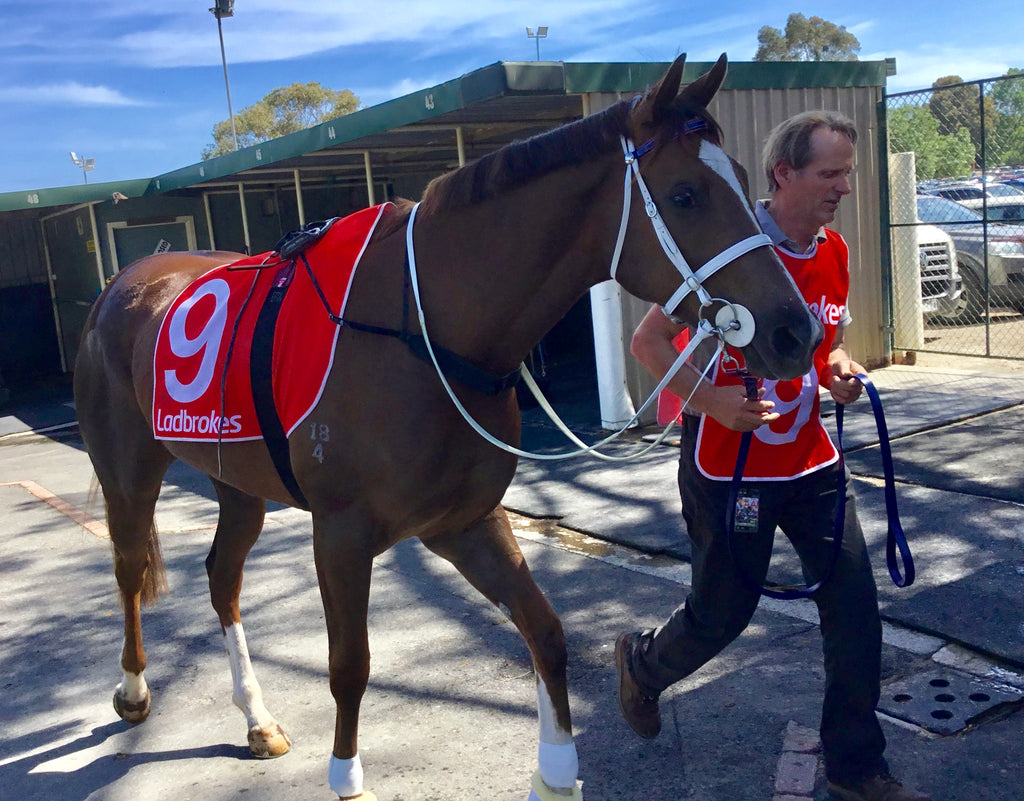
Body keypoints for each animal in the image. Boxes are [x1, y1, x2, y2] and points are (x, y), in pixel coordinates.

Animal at [73, 53, 822, 800]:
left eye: (747, 180)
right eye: (686, 194)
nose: (795, 332)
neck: (424, 324)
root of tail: (122, 284)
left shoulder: (463, 522)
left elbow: (546, 631)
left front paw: (557, 772)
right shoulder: (341, 535)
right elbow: (349, 665)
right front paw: (347, 777)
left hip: (238, 483)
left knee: (222, 578)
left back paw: (256, 717)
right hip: (130, 474)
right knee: (131, 566)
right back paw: (133, 691)